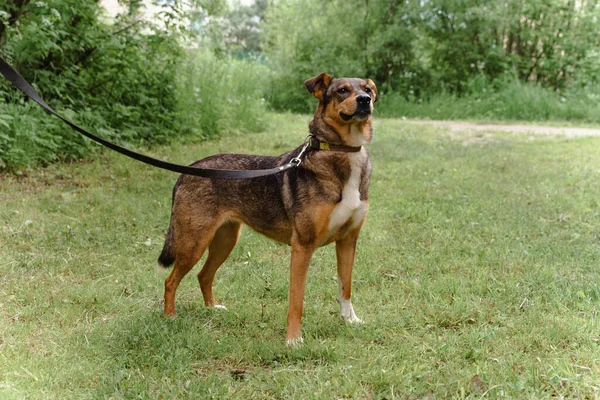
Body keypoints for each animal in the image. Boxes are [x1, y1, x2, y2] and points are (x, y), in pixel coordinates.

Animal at [157, 72, 378, 344]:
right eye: (343, 90)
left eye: (367, 89)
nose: (365, 100)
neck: (342, 153)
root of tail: (187, 171)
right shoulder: (302, 246)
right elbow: (296, 301)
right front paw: (293, 340)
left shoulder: (348, 241)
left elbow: (345, 287)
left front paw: (350, 321)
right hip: (193, 243)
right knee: (170, 280)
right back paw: (170, 317)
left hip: (224, 241)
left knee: (203, 275)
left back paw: (212, 309)